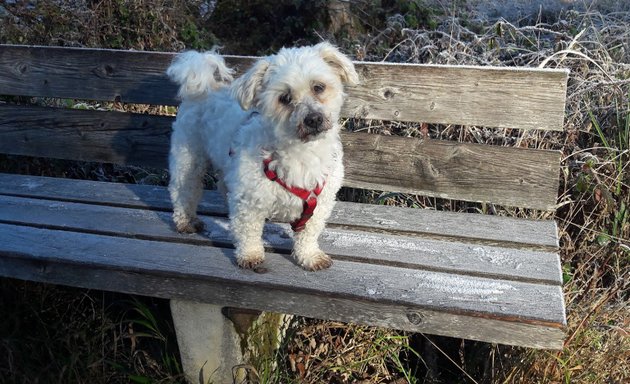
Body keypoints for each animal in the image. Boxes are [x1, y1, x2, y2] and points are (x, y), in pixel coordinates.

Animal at [167, 42, 360, 270]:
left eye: (318, 87)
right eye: (285, 98)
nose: (313, 119)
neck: (301, 153)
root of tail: (203, 88)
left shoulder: (320, 203)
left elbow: (309, 233)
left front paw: (309, 255)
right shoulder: (248, 199)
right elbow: (248, 231)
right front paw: (250, 255)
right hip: (188, 159)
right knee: (183, 191)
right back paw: (185, 221)